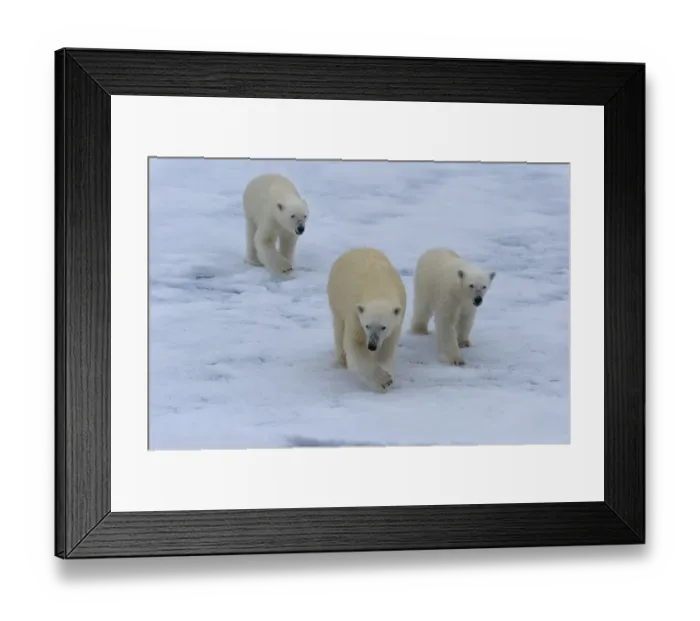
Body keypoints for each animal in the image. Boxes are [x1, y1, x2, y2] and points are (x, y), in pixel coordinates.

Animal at [327, 248, 407, 392]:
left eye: (383, 327)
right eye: (367, 326)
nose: (372, 345)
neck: (378, 289)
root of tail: (356, 249)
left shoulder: (397, 322)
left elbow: (388, 345)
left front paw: (386, 371)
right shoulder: (355, 315)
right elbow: (355, 344)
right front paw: (382, 380)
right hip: (336, 299)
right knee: (339, 330)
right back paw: (340, 361)